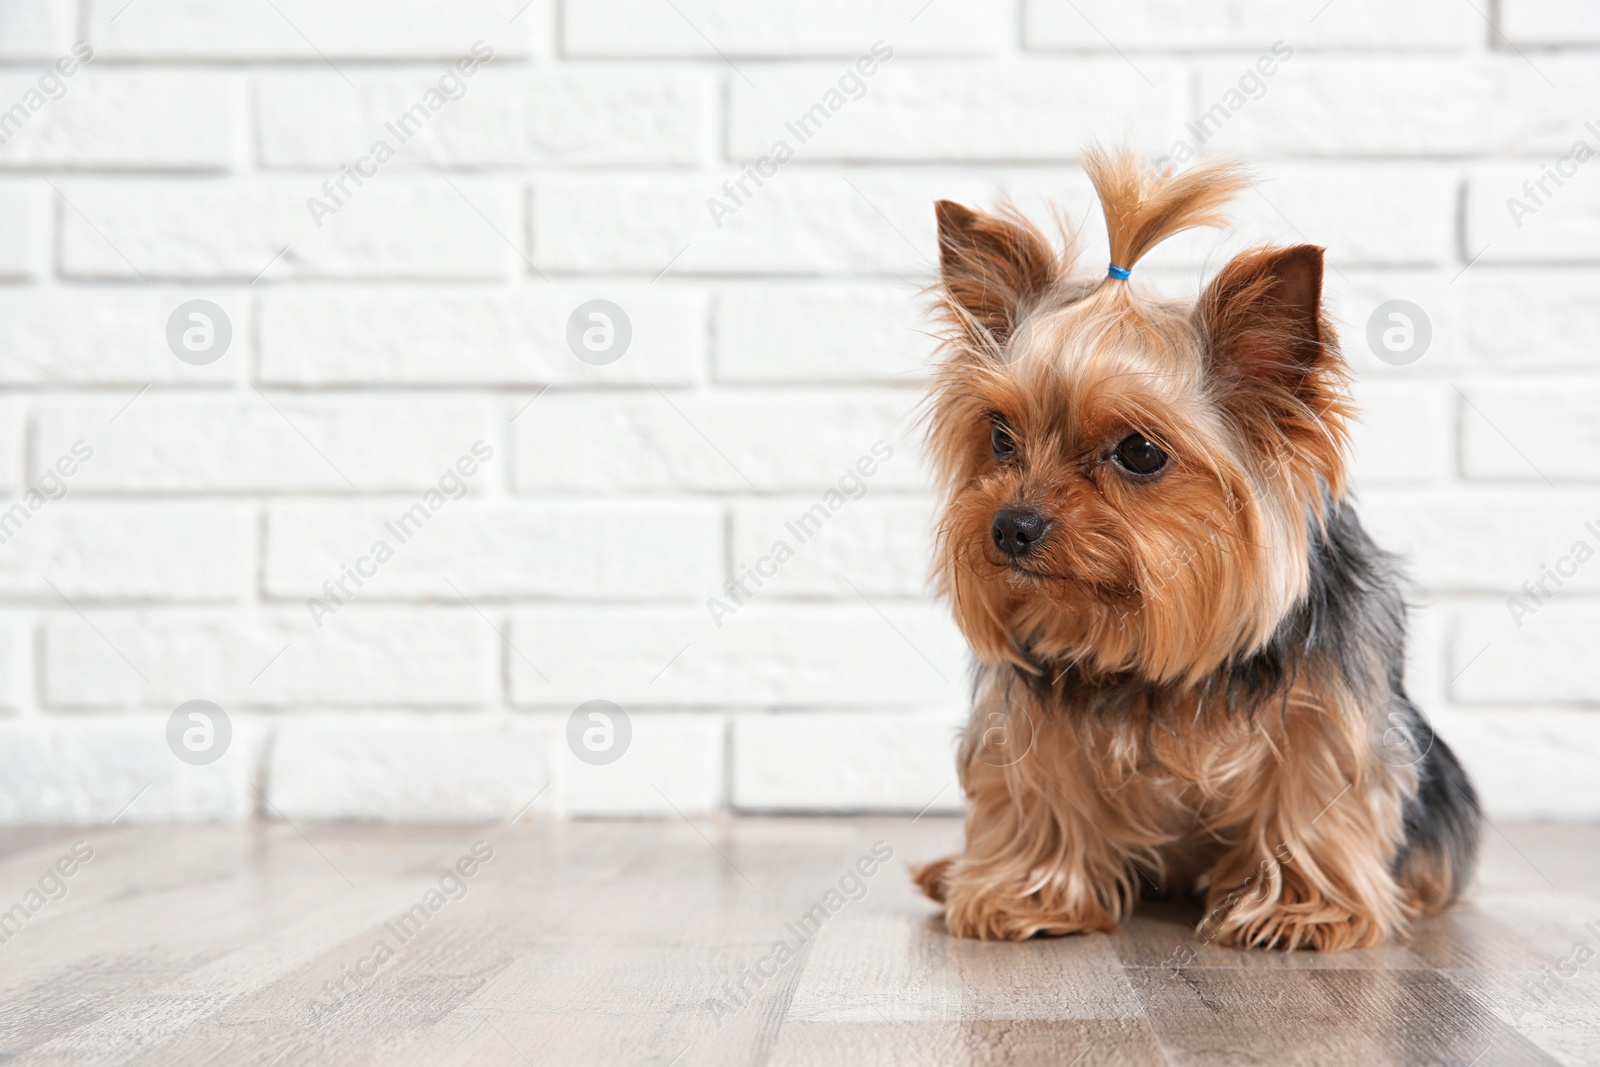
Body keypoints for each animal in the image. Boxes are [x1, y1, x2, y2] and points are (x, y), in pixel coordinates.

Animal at [921, 143, 1478, 953]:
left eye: (1140, 452)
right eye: (999, 435)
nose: (1010, 526)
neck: (1151, 658)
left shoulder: (1326, 703)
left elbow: (1315, 786)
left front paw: (1297, 909)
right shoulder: (1033, 707)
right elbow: (1037, 784)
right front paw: (1030, 893)